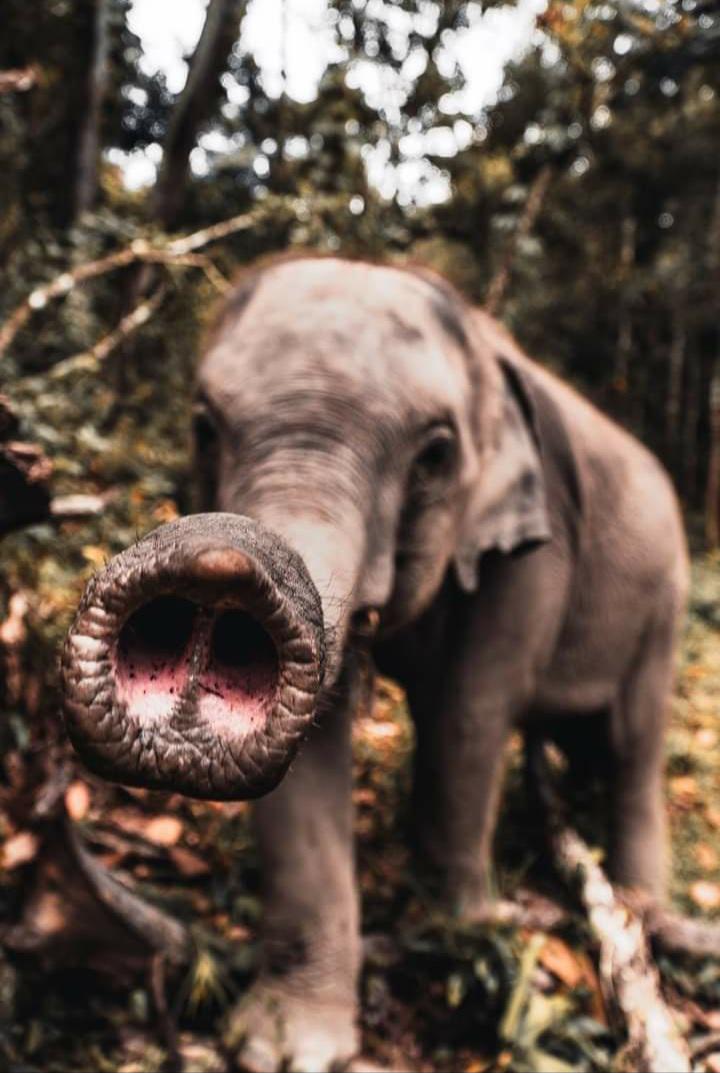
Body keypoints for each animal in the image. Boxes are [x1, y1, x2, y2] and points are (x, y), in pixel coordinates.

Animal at [61, 253, 686, 1073]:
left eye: (435, 456)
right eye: (203, 426)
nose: (215, 567)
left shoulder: (532, 551)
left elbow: (469, 714)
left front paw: (464, 929)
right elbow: (315, 751)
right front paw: (286, 1049)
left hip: (665, 601)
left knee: (631, 745)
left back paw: (646, 913)